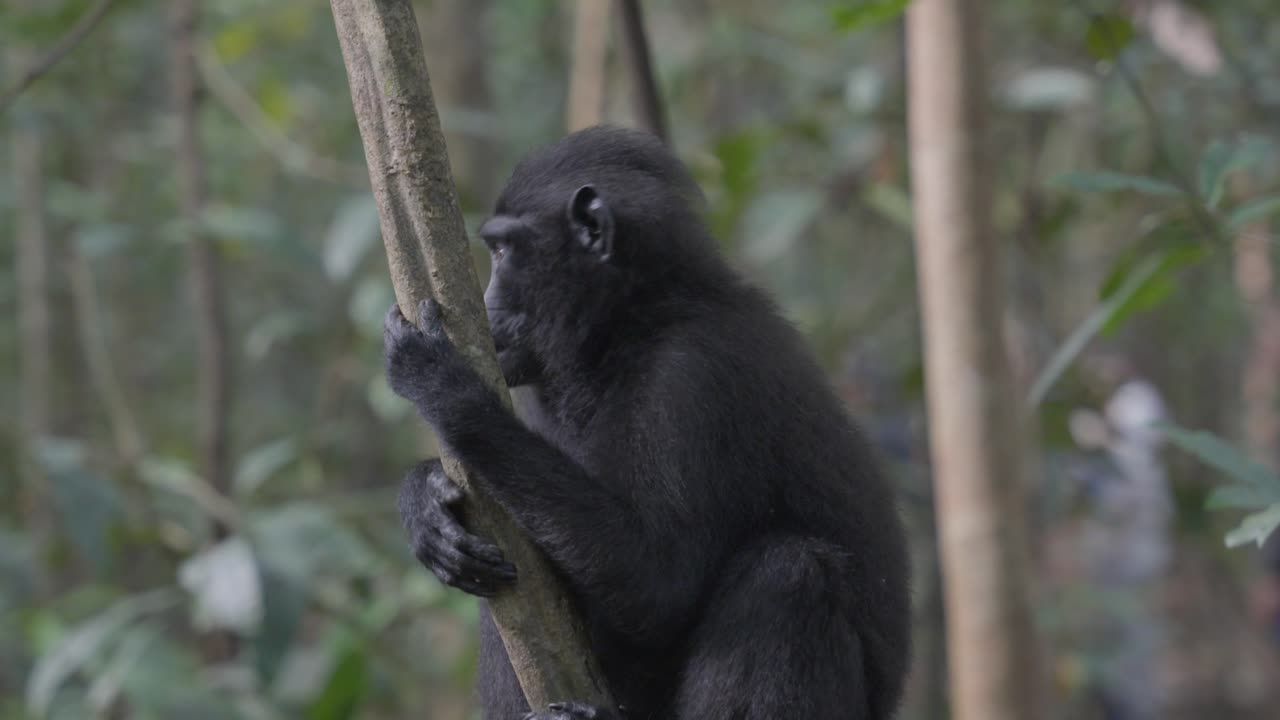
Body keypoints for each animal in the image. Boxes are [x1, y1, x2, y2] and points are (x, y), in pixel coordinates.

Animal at [386, 125, 909, 719]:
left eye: (502, 250)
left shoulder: (693, 376)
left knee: (790, 572)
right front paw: (425, 498)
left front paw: (445, 387)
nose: (487, 302)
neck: (630, 326)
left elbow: (659, 582)